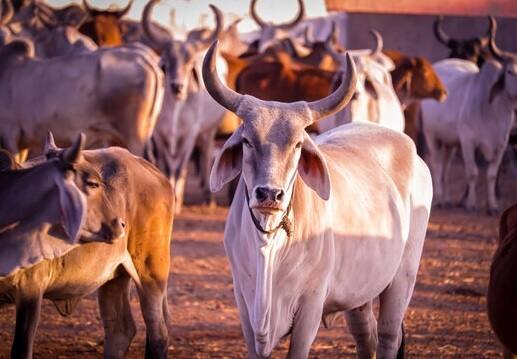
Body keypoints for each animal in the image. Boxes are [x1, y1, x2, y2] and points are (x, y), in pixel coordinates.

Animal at [0, 134, 174, 358]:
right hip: (114, 275)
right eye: (92, 184)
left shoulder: (30, 290)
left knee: (158, 332)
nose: (120, 224)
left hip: (151, 271)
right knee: (120, 330)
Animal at [202, 41, 432, 359]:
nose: (269, 194)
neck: (268, 247)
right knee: (367, 337)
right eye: (247, 140)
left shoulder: (310, 306)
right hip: (359, 292)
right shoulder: (245, 305)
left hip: (403, 277)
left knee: (388, 336)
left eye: (299, 144)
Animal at [420, 35, 516, 214]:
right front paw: (470, 204)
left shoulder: (502, 143)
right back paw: (439, 198)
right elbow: (472, 172)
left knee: (446, 168)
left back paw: (447, 199)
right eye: (510, 71)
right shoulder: (468, 141)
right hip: (432, 135)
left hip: (450, 142)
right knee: (437, 164)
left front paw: (492, 205)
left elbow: (492, 174)